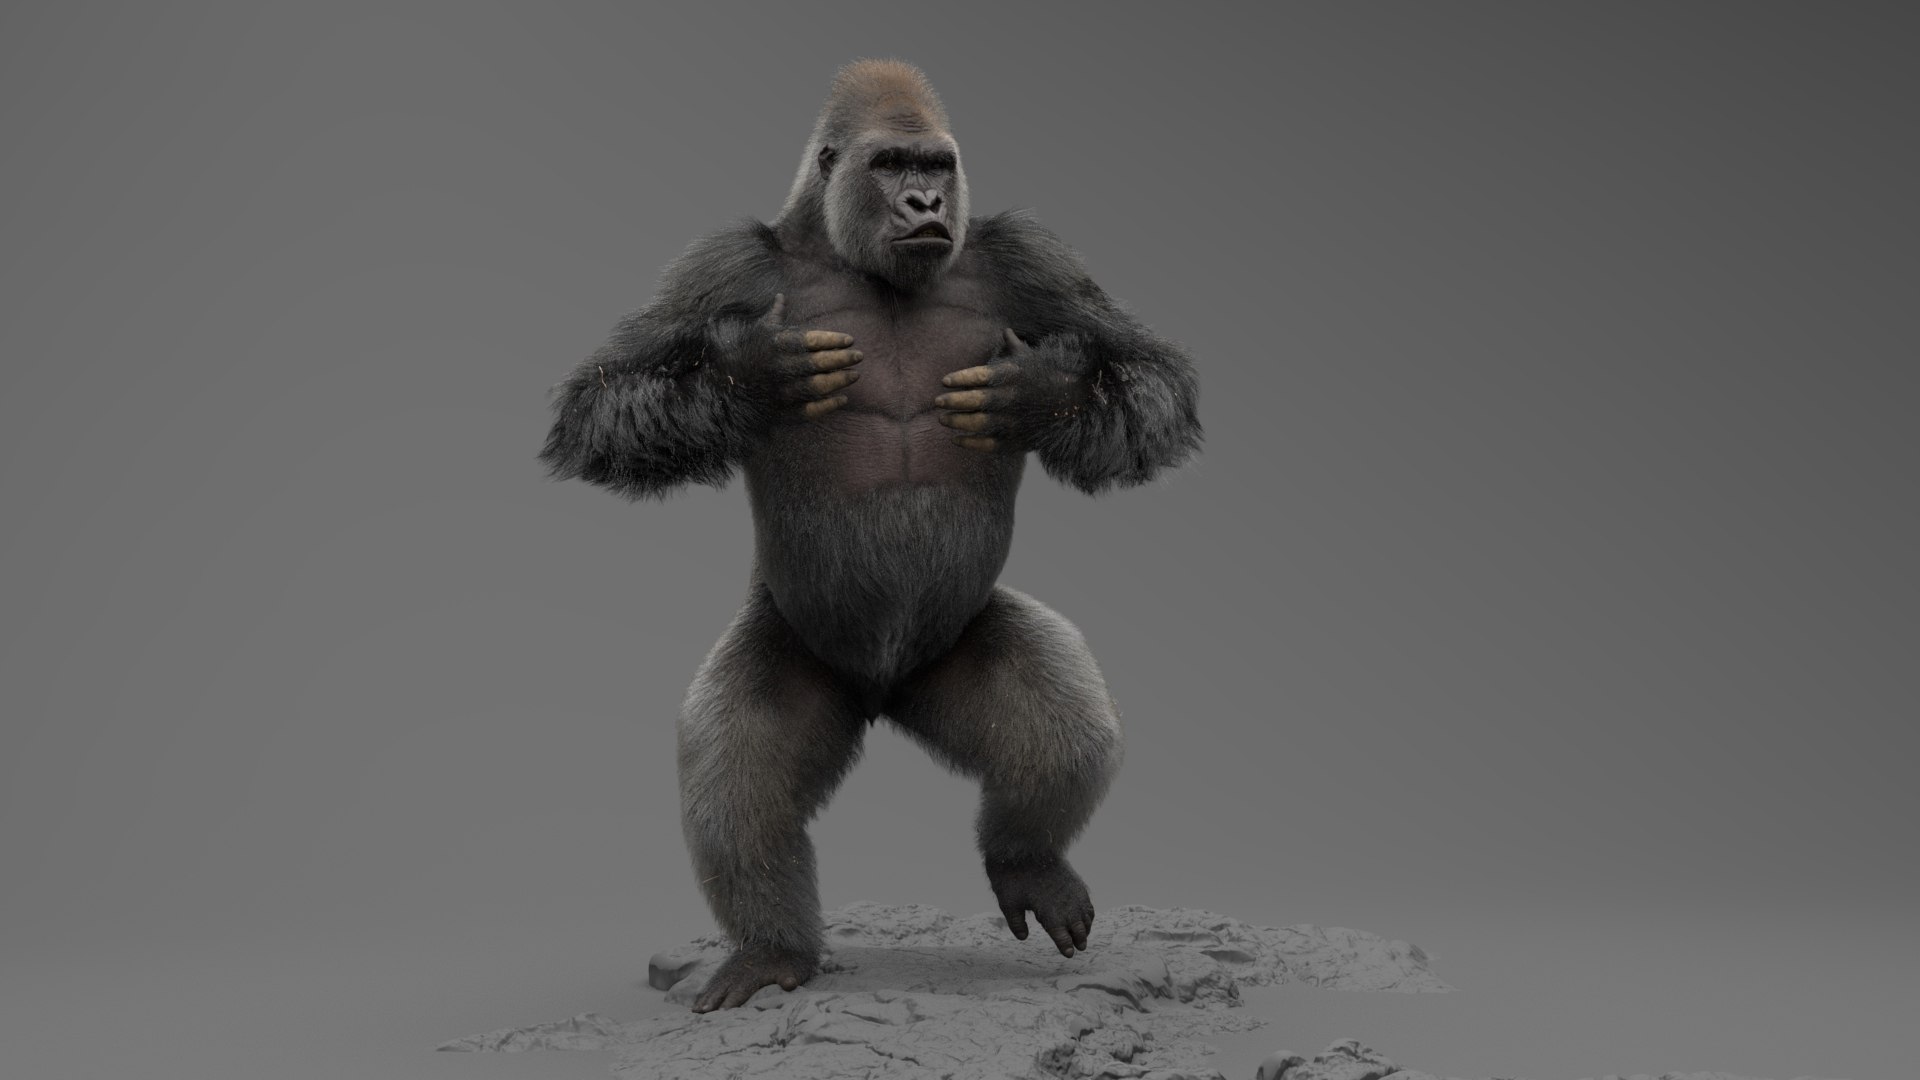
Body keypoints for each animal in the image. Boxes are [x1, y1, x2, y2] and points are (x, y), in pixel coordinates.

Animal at [538, 59, 1202, 1012]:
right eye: (890, 164)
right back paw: (773, 948)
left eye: (935, 166)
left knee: (1066, 733)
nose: (925, 202)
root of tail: (883, 693)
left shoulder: (1034, 254)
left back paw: (1028, 857)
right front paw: (748, 374)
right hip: (800, 647)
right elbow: (601, 402)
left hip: (949, 652)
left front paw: (1046, 392)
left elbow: (1151, 376)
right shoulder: (721, 264)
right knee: (736, 784)